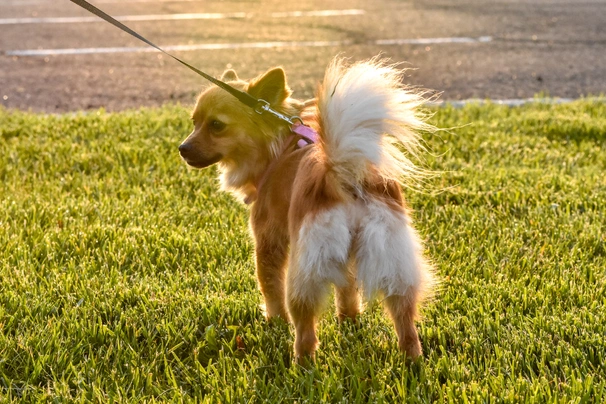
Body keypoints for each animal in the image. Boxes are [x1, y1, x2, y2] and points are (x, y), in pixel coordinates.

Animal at [179, 56, 436, 360]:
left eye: (217, 125)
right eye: (194, 122)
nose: (182, 148)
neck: (280, 147)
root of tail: (339, 174)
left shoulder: (268, 240)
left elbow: (269, 286)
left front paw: (274, 321)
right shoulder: (344, 258)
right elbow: (347, 291)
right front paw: (349, 319)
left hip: (304, 270)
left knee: (304, 327)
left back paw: (301, 361)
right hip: (393, 261)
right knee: (405, 320)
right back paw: (412, 360)